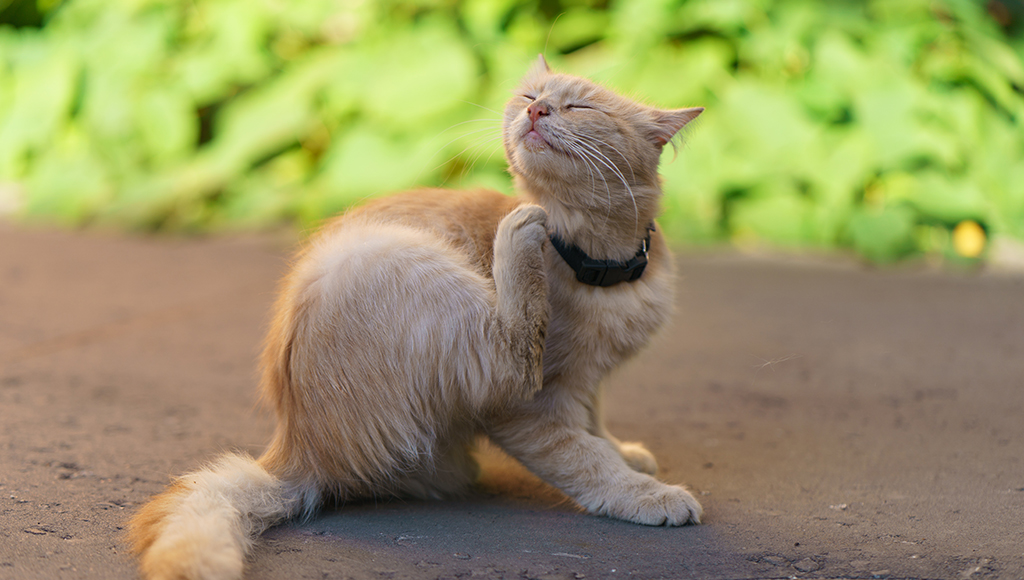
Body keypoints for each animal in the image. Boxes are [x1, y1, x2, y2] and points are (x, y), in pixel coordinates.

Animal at [128, 55, 704, 580]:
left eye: (580, 106)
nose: (537, 110)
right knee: (513, 354)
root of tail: (295, 453)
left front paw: (626, 453)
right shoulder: (530, 411)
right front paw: (646, 492)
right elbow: (587, 458)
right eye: (531, 96)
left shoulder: (587, 381)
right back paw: (518, 232)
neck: (598, 266)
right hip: (407, 265)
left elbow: (596, 428)